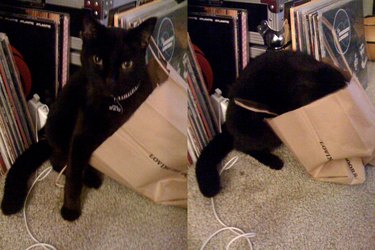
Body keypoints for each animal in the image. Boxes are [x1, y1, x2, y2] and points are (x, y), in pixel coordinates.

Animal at [1, 15, 157, 221]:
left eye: (127, 64)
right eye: (97, 59)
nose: (110, 80)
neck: (113, 104)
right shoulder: (81, 136)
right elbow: (73, 176)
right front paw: (70, 210)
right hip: (60, 122)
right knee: (58, 160)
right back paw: (88, 177)